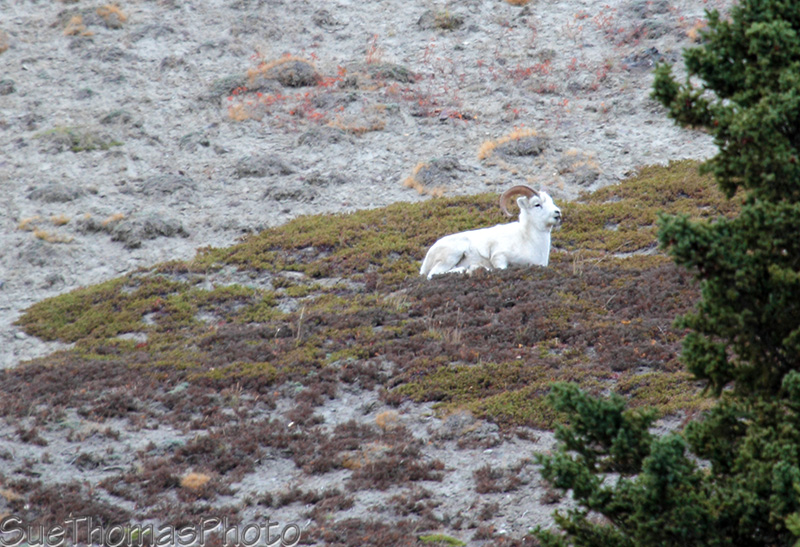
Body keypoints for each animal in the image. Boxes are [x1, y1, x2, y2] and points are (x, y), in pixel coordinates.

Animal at [419, 185, 562, 279]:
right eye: (537, 204)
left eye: (551, 202)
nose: (558, 213)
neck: (528, 240)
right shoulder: (499, 257)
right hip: (452, 255)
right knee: (432, 274)